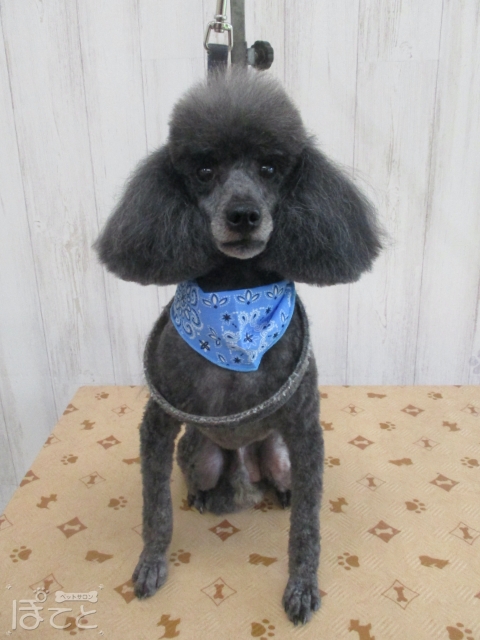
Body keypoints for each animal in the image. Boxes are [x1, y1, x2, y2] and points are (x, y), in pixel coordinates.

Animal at [94, 69, 382, 625]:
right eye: (204, 169)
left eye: (271, 167)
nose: (244, 215)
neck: (235, 308)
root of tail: (245, 464)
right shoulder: (157, 426)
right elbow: (154, 507)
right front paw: (151, 563)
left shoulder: (305, 430)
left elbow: (308, 527)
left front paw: (301, 586)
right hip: (198, 454)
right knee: (199, 479)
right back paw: (206, 499)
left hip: (284, 453)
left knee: (290, 483)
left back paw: (281, 490)